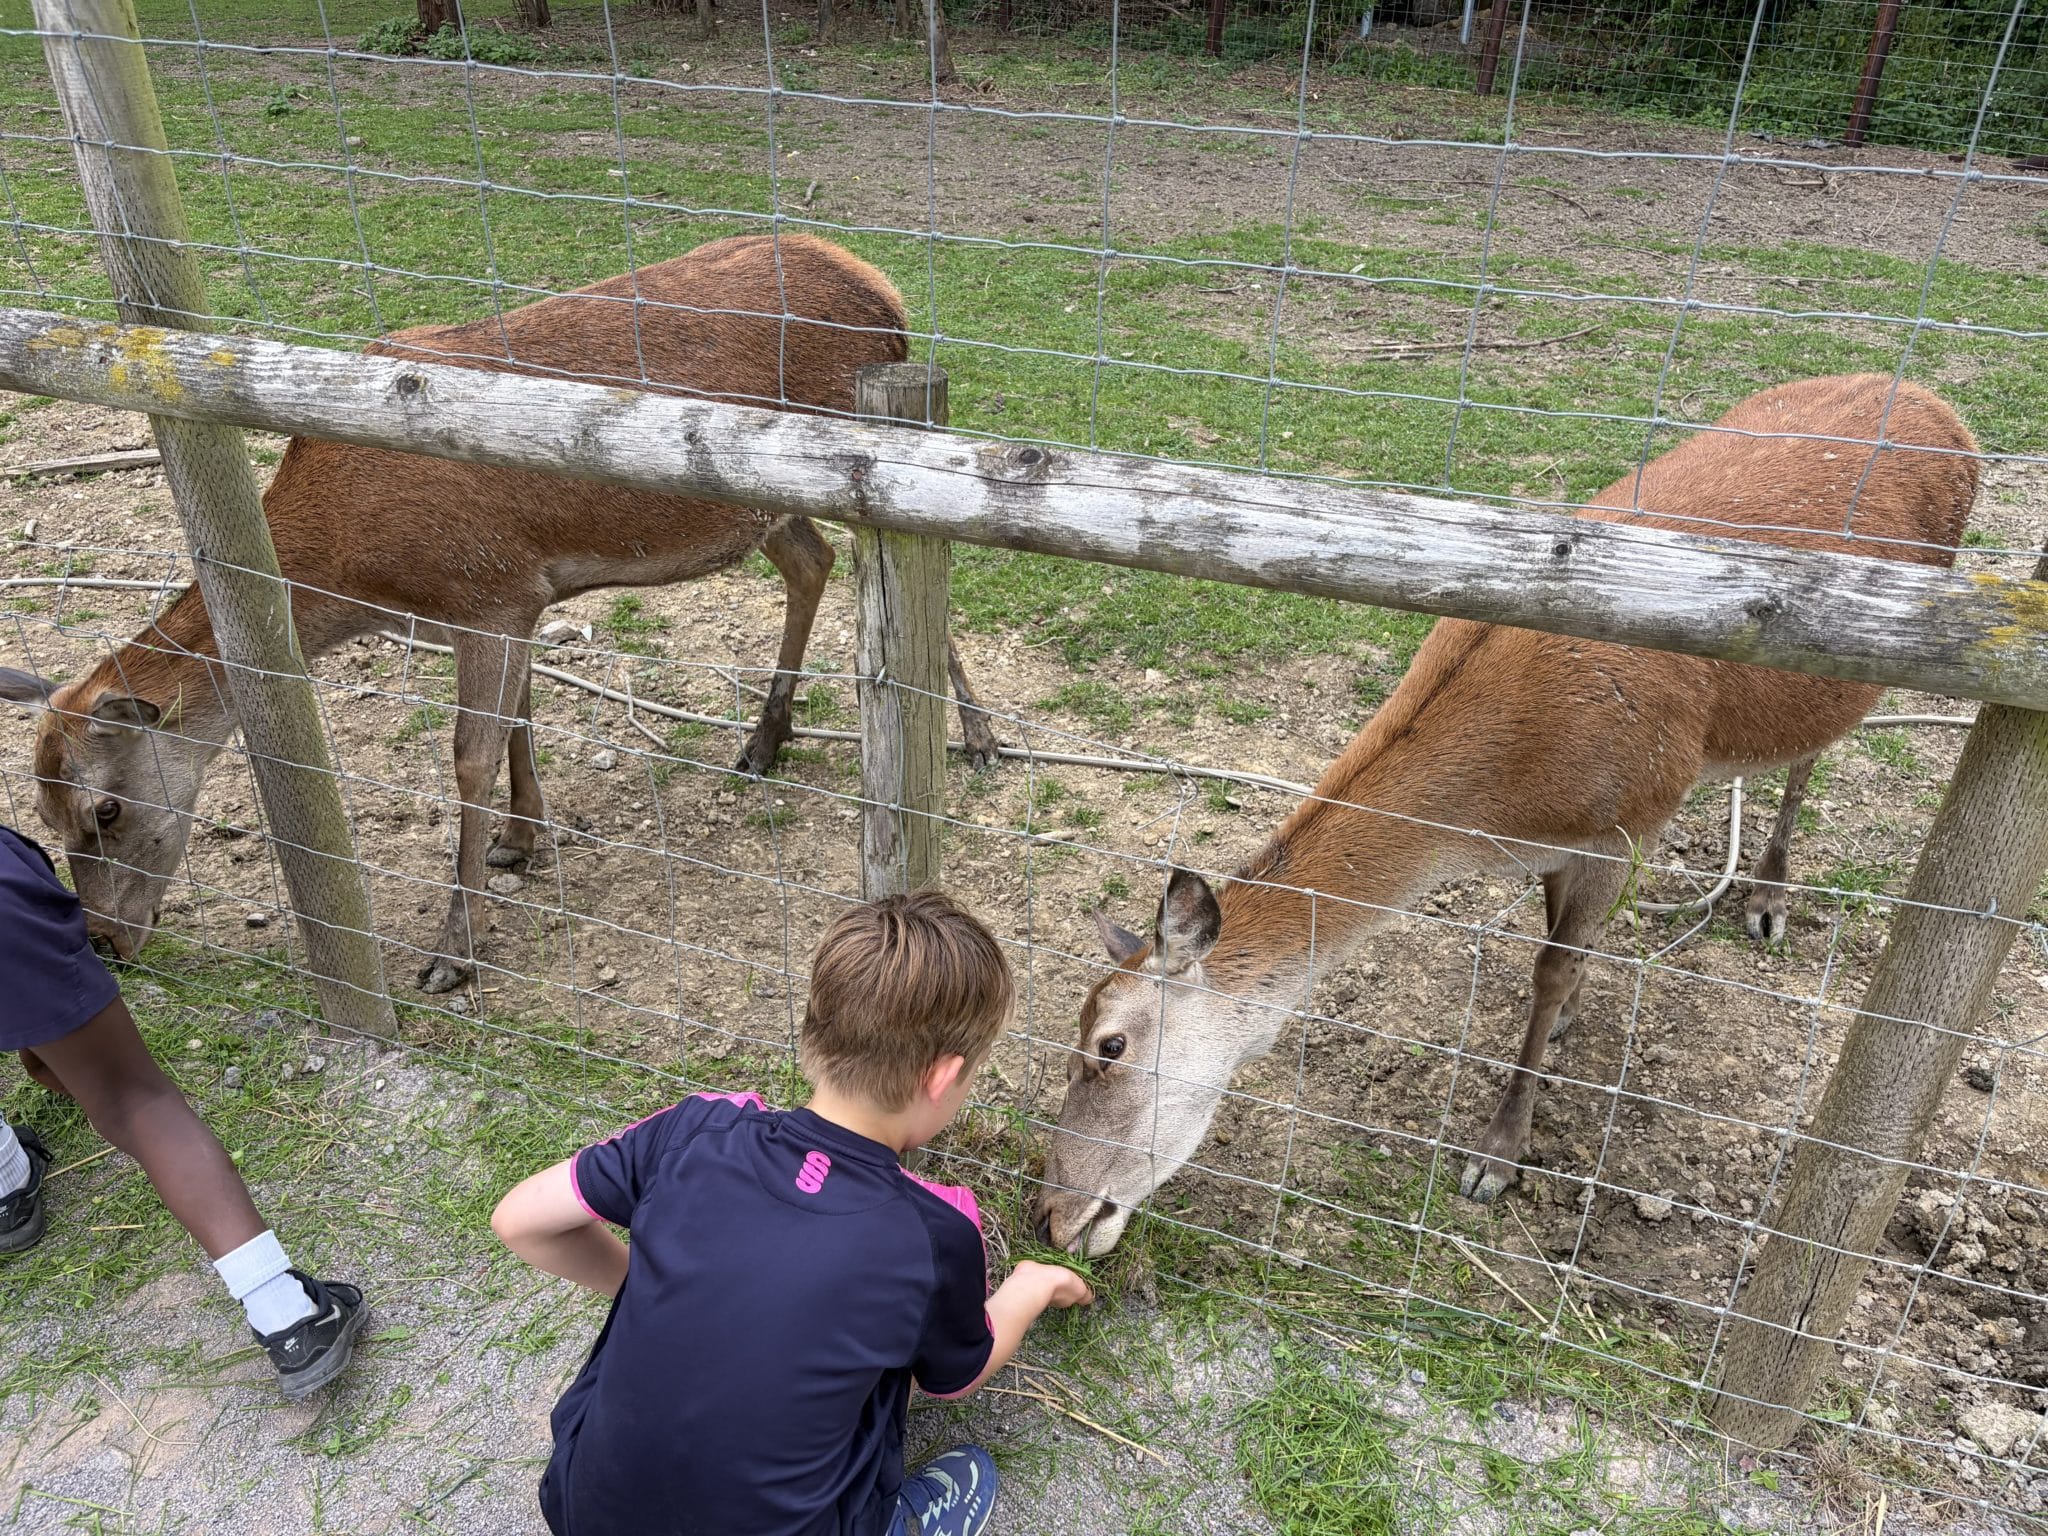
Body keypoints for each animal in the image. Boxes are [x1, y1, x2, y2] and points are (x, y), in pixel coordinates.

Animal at [0, 232, 998, 994]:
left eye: (104, 811)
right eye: (41, 815)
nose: (107, 941)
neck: (362, 568)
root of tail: (884, 290)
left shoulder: (487, 592)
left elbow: (468, 757)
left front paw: (456, 946)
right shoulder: (510, 600)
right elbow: (520, 716)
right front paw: (525, 839)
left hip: (870, 466)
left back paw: (978, 737)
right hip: (766, 506)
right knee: (810, 561)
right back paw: (765, 739)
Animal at [1033, 373, 1979, 1257]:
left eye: (1107, 1046)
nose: (1049, 1216)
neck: (1501, 798)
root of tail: (1943, 407)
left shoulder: (1631, 816)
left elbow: (1550, 967)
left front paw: (1498, 1152)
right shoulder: (1566, 842)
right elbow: (1563, 944)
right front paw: (1565, 1021)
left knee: (1814, 754)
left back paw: (1769, 900)